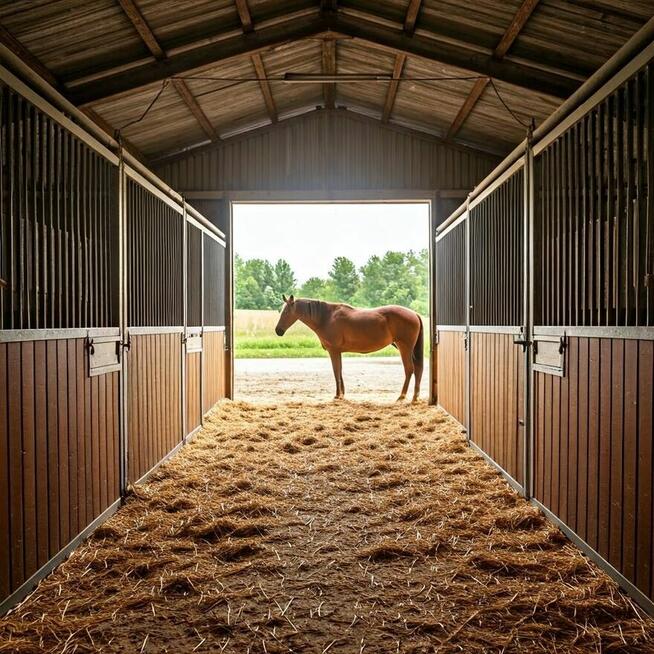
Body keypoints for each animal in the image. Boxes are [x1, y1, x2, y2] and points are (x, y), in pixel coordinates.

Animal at [276, 296, 426, 400]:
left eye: (286, 312)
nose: (278, 331)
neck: (326, 317)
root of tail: (414, 314)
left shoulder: (334, 351)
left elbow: (336, 371)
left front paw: (338, 395)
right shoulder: (338, 352)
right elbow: (340, 371)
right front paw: (342, 394)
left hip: (404, 347)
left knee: (409, 369)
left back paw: (402, 396)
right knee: (418, 368)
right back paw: (415, 397)